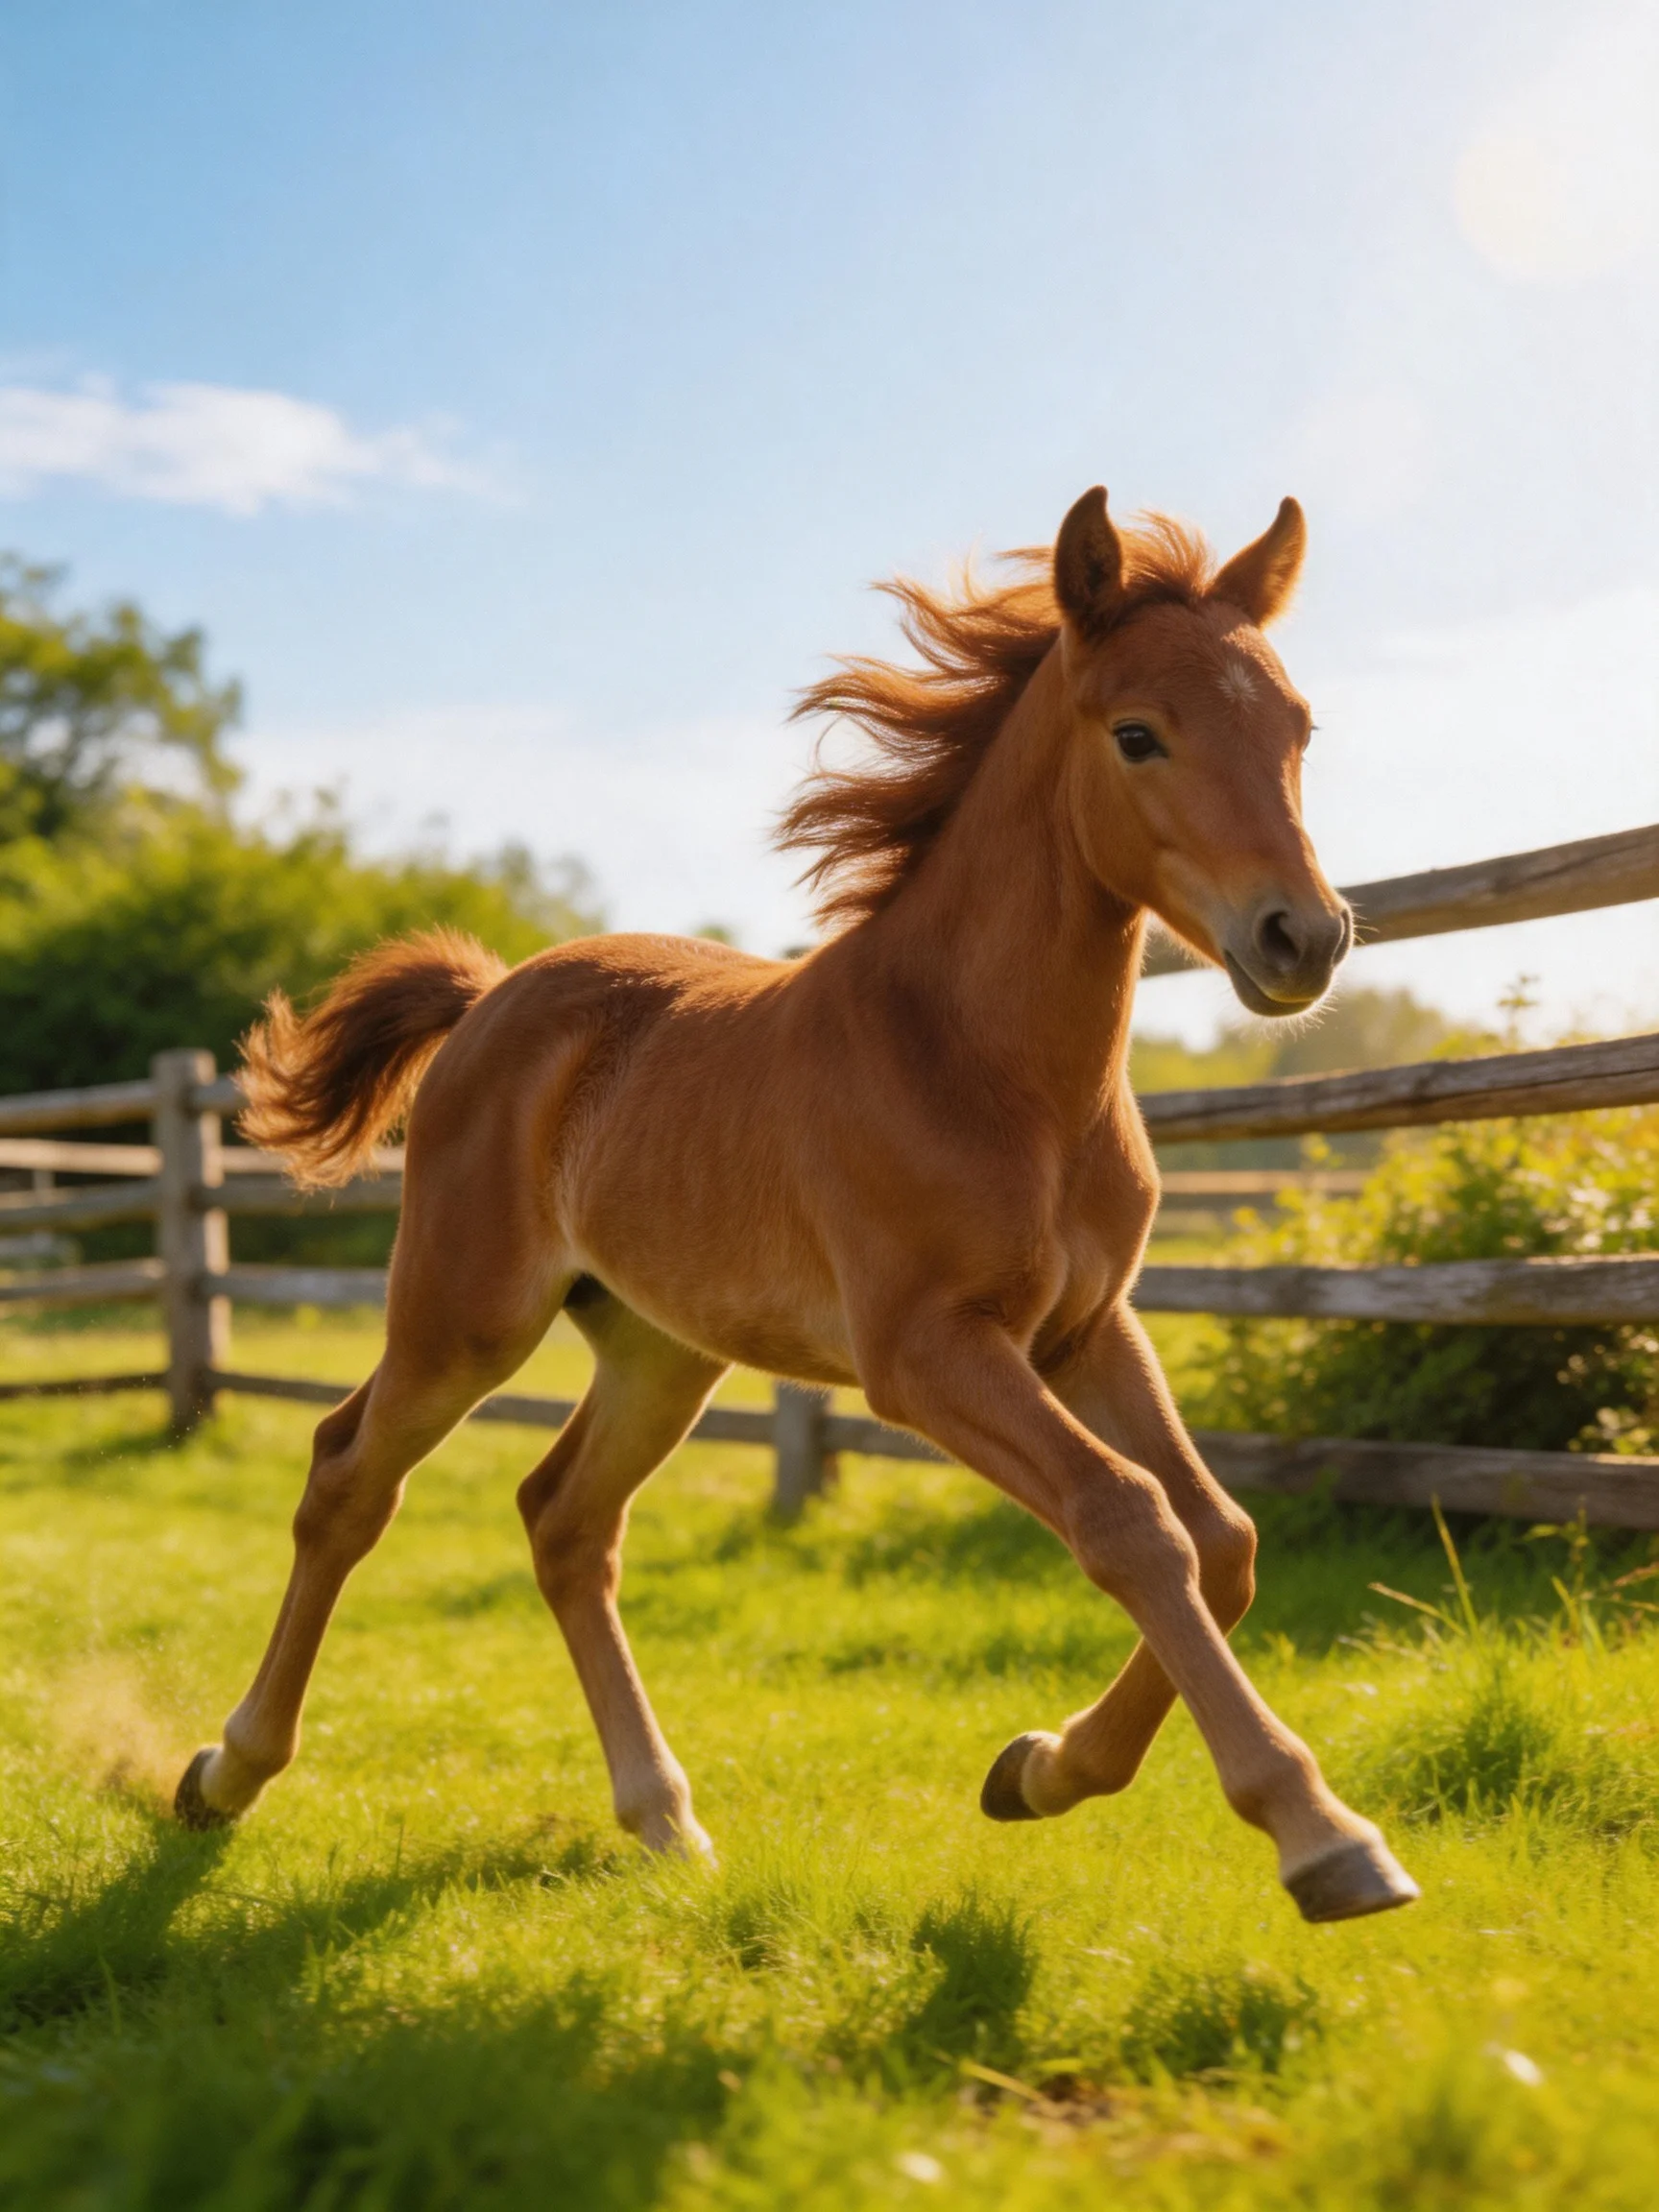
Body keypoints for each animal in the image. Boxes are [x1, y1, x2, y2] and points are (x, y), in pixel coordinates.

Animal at [175, 484, 1418, 1925]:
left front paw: (1038, 1769)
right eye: (1138, 734)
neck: (986, 1068)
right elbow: (1128, 1521)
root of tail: (490, 995)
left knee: (567, 1521)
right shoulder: (923, 1353)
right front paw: (1322, 1833)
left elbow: (1220, 1539)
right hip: (464, 1315)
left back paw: (664, 1818)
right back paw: (225, 1771)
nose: (1303, 938)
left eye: (1298, 728)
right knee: (347, 1477)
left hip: (660, 1348)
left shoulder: (1087, 1329)